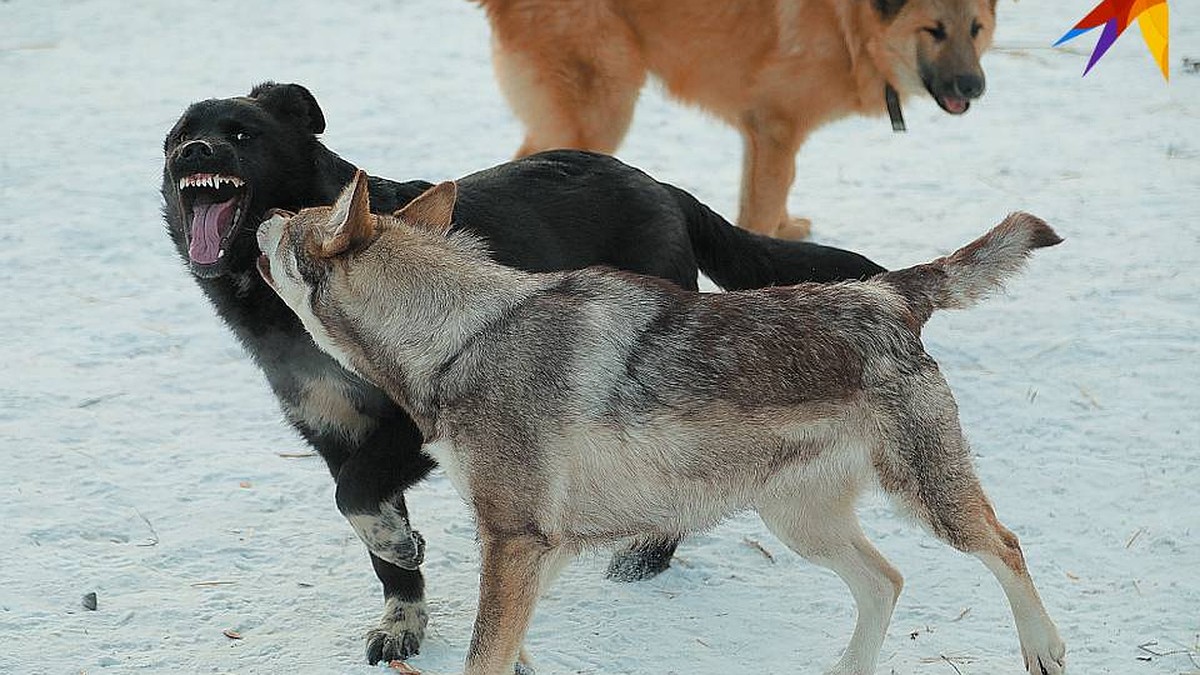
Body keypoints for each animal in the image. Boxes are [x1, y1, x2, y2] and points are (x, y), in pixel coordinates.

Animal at [162, 79, 883, 662]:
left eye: (241, 133)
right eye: (177, 136)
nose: (193, 152)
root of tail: (656, 184)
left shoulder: (409, 431)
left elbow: (357, 495)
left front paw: (402, 545)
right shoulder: (334, 434)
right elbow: (369, 527)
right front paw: (401, 613)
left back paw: (649, 552)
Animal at [258, 169, 1065, 672]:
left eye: (294, 223)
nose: (263, 215)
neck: (463, 335)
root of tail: (888, 292)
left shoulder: (516, 539)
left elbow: (486, 653)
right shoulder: (540, 547)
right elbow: (510, 650)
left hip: (926, 500)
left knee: (1007, 547)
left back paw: (1044, 650)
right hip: (800, 523)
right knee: (887, 581)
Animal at [475, 0, 993, 239]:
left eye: (975, 29)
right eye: (933, 30)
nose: (973, 86)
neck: (849, 23)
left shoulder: (764, 135)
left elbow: (773, 193)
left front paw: (786, 228)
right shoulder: (777, 127)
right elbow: (762, 204)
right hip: (603, 110)